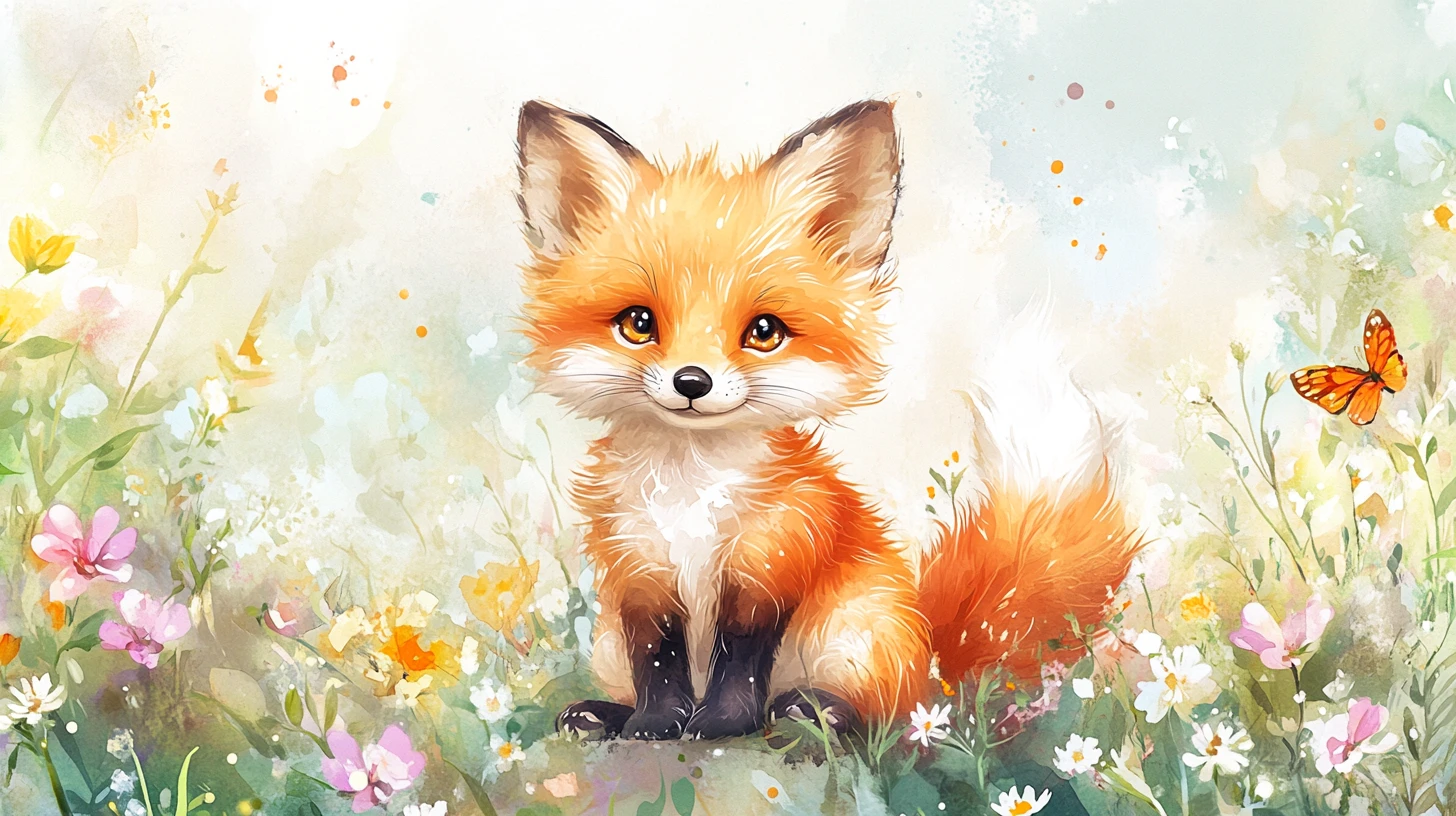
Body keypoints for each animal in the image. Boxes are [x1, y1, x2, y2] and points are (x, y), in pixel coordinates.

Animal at [514, 98, 1139, 740]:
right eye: (638, 324)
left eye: (764, 332)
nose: (692, 382)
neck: (694, 498)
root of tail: (931, 659)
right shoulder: (640, 576)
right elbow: (658, 665)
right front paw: (655, 723)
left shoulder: (772, 561)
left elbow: (739, 660)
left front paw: (721, 723)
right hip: (608, 646)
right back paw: (602, 713)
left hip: (856, 637)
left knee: (883, 718)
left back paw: (815, 710)